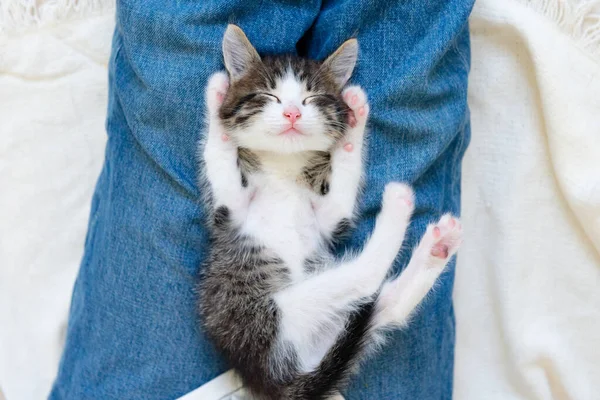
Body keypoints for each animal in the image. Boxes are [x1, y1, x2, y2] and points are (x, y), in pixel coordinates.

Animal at [199, 25, 462, 400]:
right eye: (270, 95)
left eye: (311, 98)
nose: (292, 113)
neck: (283, 168)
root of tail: (272, 381)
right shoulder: (230, 209)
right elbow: (218, 153)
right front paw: (216, 98)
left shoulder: (328, 217)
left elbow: (343, 184)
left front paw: (354, 123)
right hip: (277, 316)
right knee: (367, 279)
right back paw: (402, 210)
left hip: (328, 325)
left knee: (382, 306)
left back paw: (435, 246)